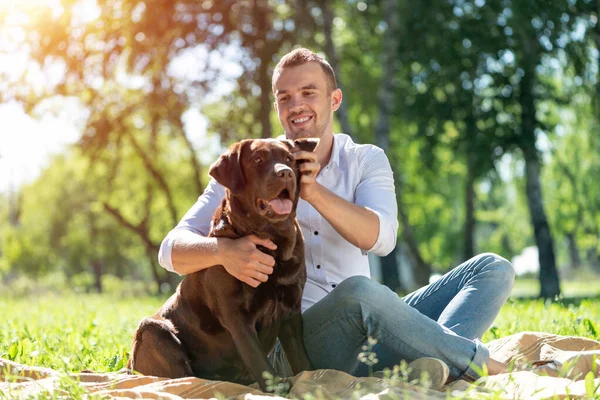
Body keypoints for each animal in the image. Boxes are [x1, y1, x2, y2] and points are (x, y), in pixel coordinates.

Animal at [127, 137, 318, 390]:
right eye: (258, 160)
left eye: (288, 159)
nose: (285, 173)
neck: (272, 240)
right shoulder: (237, 317)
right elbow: (260, 362)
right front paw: (277, 389)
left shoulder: (291, 310)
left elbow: (302, 360)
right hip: (152, 330)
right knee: (184, 378)